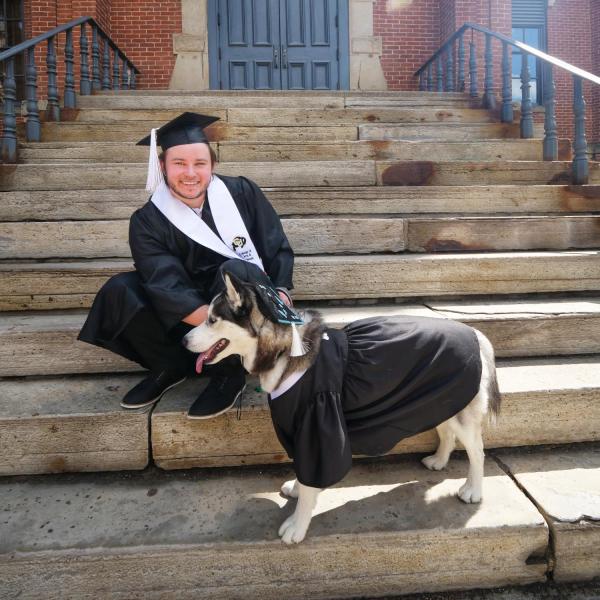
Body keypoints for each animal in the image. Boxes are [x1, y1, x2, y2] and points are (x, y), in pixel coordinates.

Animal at [184, 274, 502, 548]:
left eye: (212, 320)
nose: (183, 340)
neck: (285, 350)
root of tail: (475, 333)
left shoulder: (318, 425)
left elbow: (312, 482)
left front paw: (298, 525)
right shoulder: (302, 427)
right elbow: (303, 471)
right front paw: (297, 489)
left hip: (460, 411)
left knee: (477, 451)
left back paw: (473, 490)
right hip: (441, 399)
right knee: (447, 431)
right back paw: (439, 460)